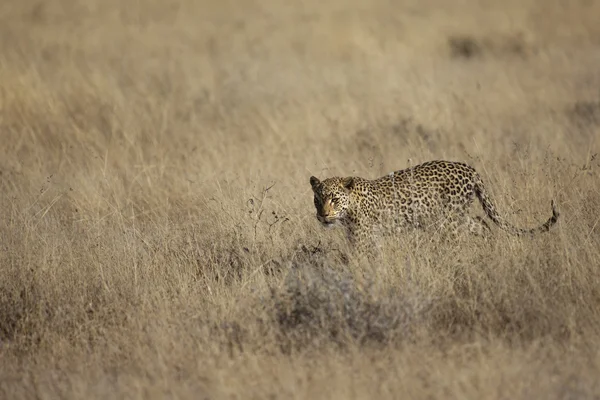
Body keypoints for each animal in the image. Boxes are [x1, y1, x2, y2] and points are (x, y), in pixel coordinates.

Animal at [312, 160, 560, 250]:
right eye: (318, 200)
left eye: (334, 199)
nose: (323, 215)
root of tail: (470, 169)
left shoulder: (362, 238)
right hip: (454, 217)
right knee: (481, 222)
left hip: (449, 221)